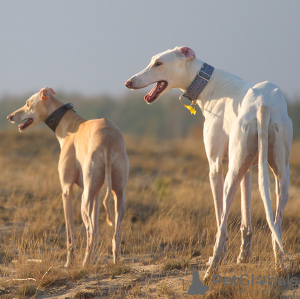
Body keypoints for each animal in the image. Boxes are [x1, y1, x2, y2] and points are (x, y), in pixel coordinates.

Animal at [6, 86, 129, 268]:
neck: (69, 124)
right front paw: (93, 261)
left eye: (28, 103)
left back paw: (84, 263)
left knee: (89, 231)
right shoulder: (96, 193)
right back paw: (115, 262)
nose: (9, 117)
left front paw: (69, 263)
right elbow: (97, 229)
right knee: (113, 234)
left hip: (84, 201)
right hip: (117, 195)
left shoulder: (66, 189)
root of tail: (107, 140)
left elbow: (70, 233)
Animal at [125, 47, 292, 282]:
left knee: (221, 225)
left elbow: (220, 215)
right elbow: (246, 216)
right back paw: (280, 265)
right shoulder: (248, 166)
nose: (128, 83)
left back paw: (210, 270)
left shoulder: (215, 166)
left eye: (158, 63)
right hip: (279, 173)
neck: (210, 84)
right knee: (276, 224)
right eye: (152, 61)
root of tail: (263, 103)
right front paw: (244, 255)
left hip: (231, 174)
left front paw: (221, 257)